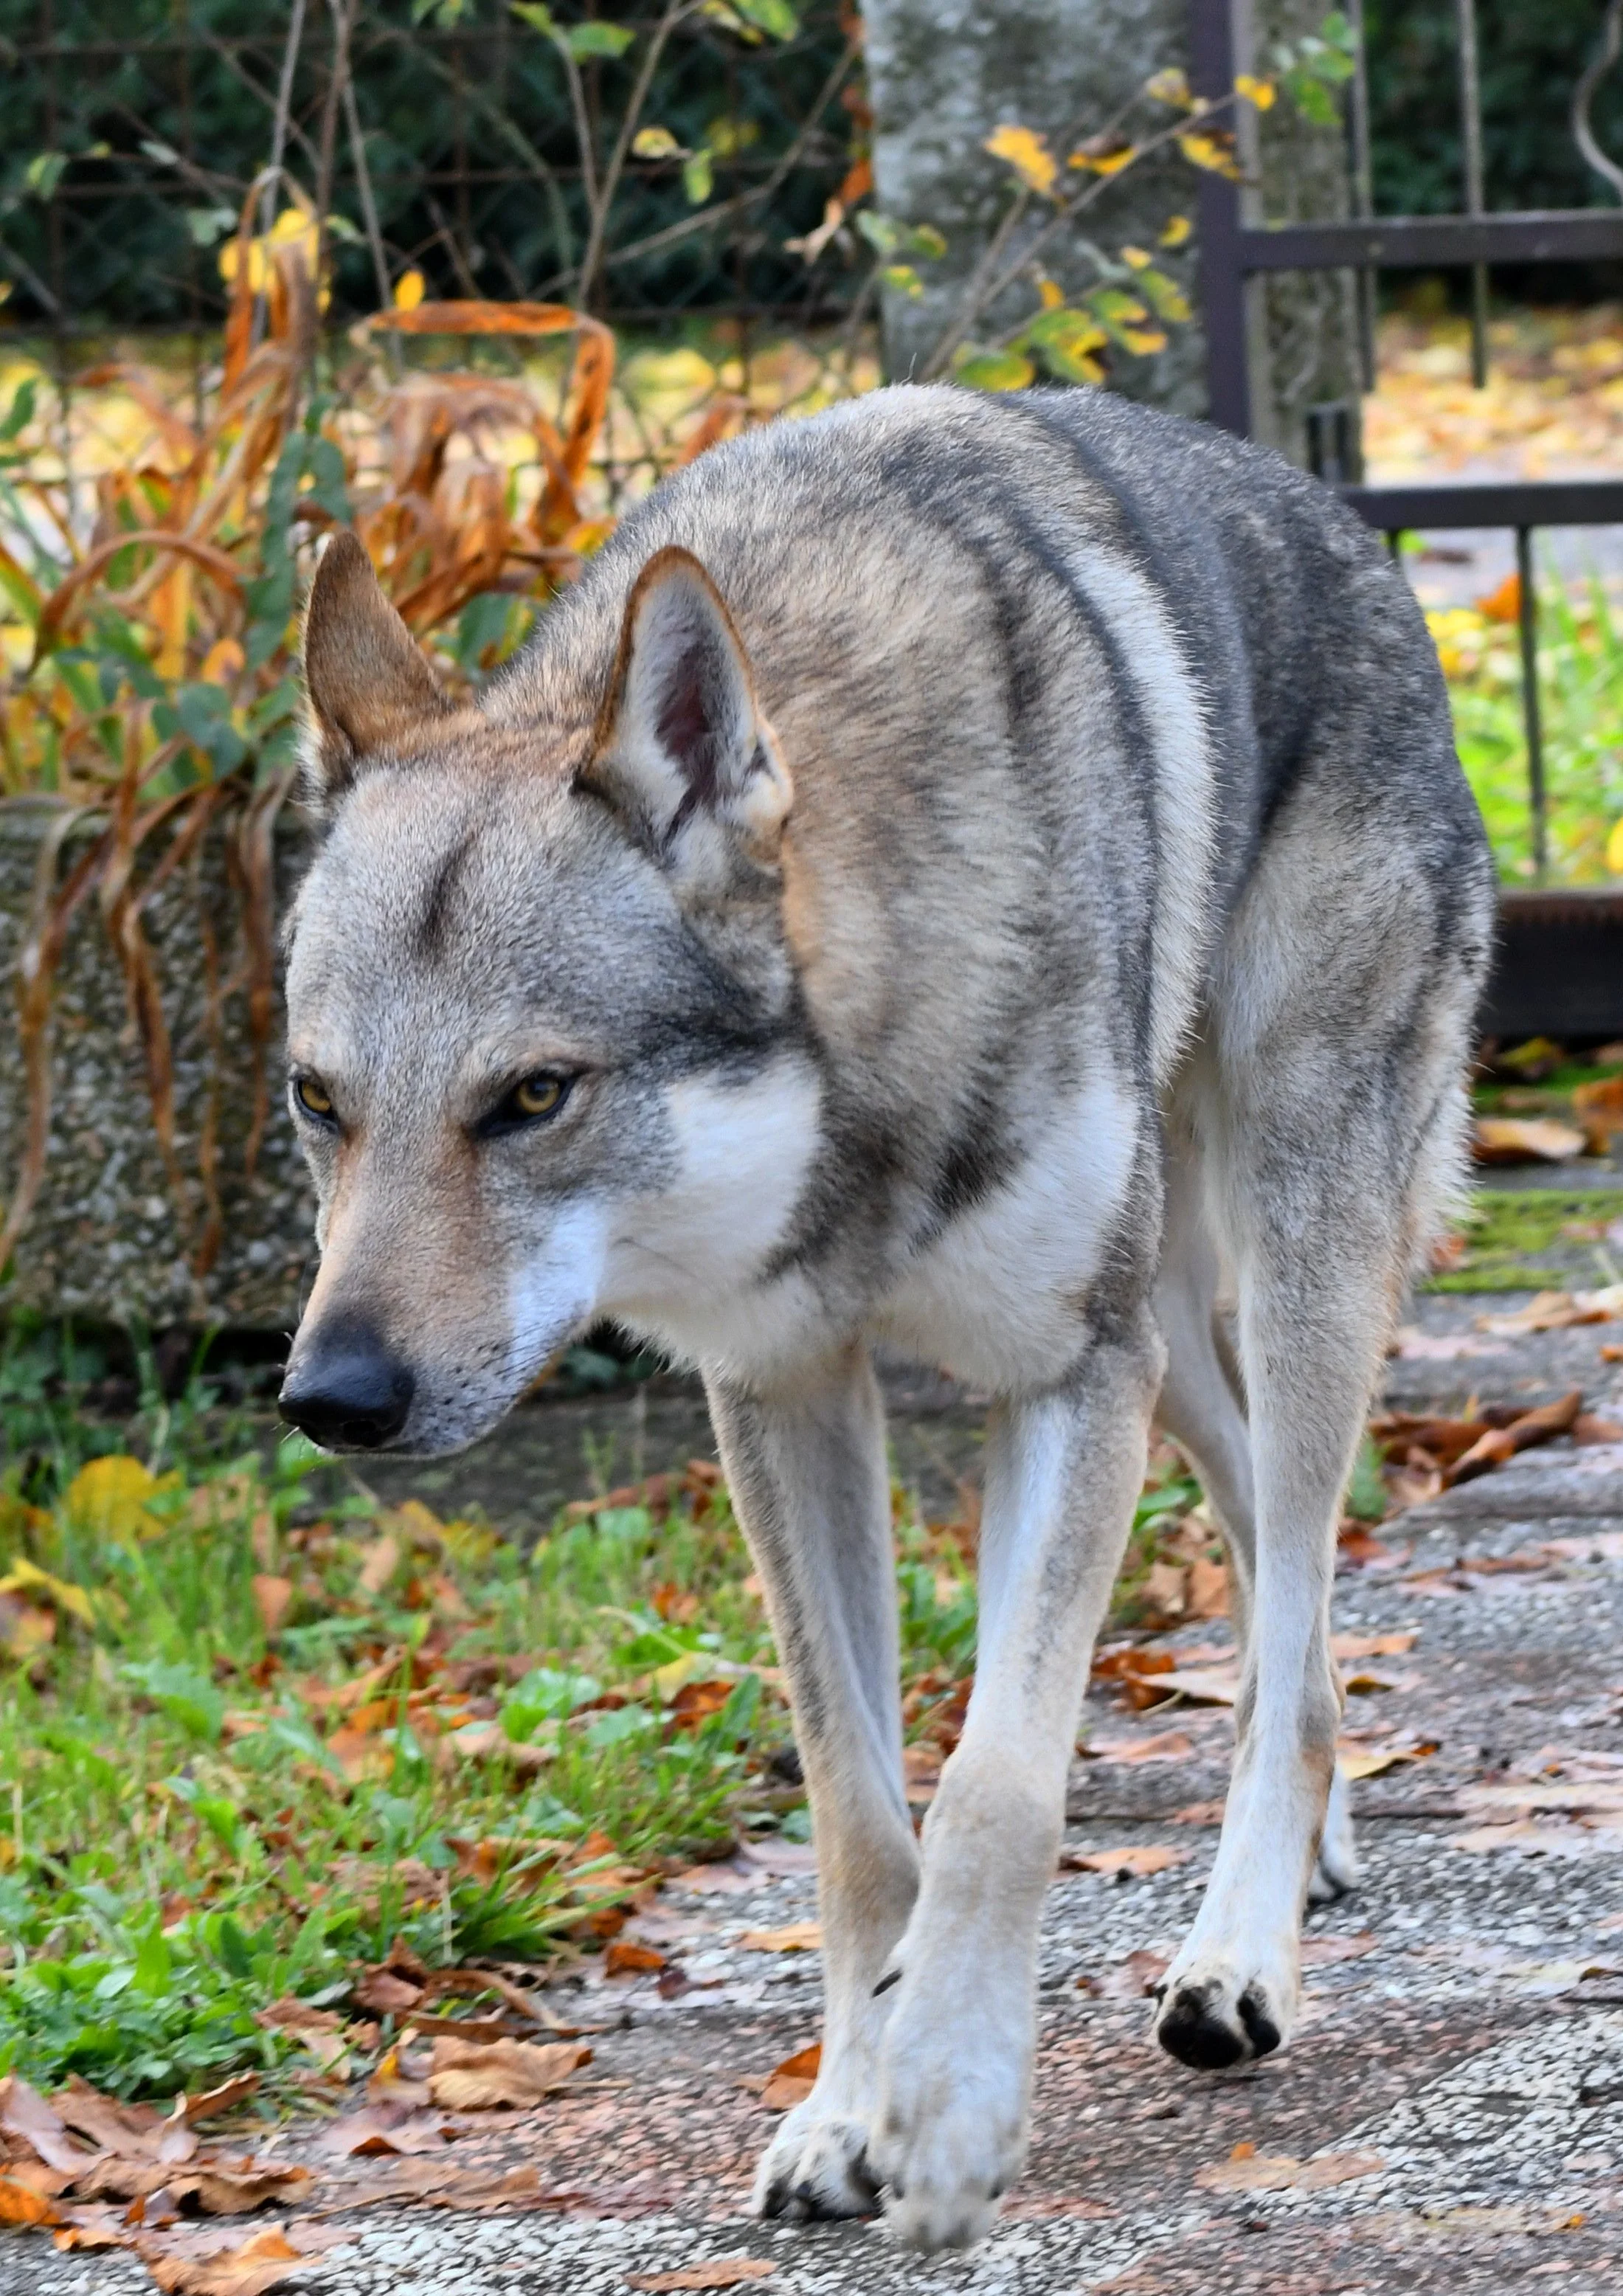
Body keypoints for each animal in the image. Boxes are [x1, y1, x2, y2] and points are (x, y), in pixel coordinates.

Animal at [279, 383, 1495, 2252]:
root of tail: (1336, 516)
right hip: (1164, 1339)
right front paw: (853, 2106)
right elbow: (863, 1811)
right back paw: (1318, 1841)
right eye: (319, 1102)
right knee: (1258, 1562)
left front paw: (955, 2108)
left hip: (1283, 1269)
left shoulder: (1066, 1374)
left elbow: (999, 1782)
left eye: (531, 1096)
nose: (330, 1395)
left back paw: (1238, 1953)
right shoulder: (787, 1394)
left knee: (1292, 1587)